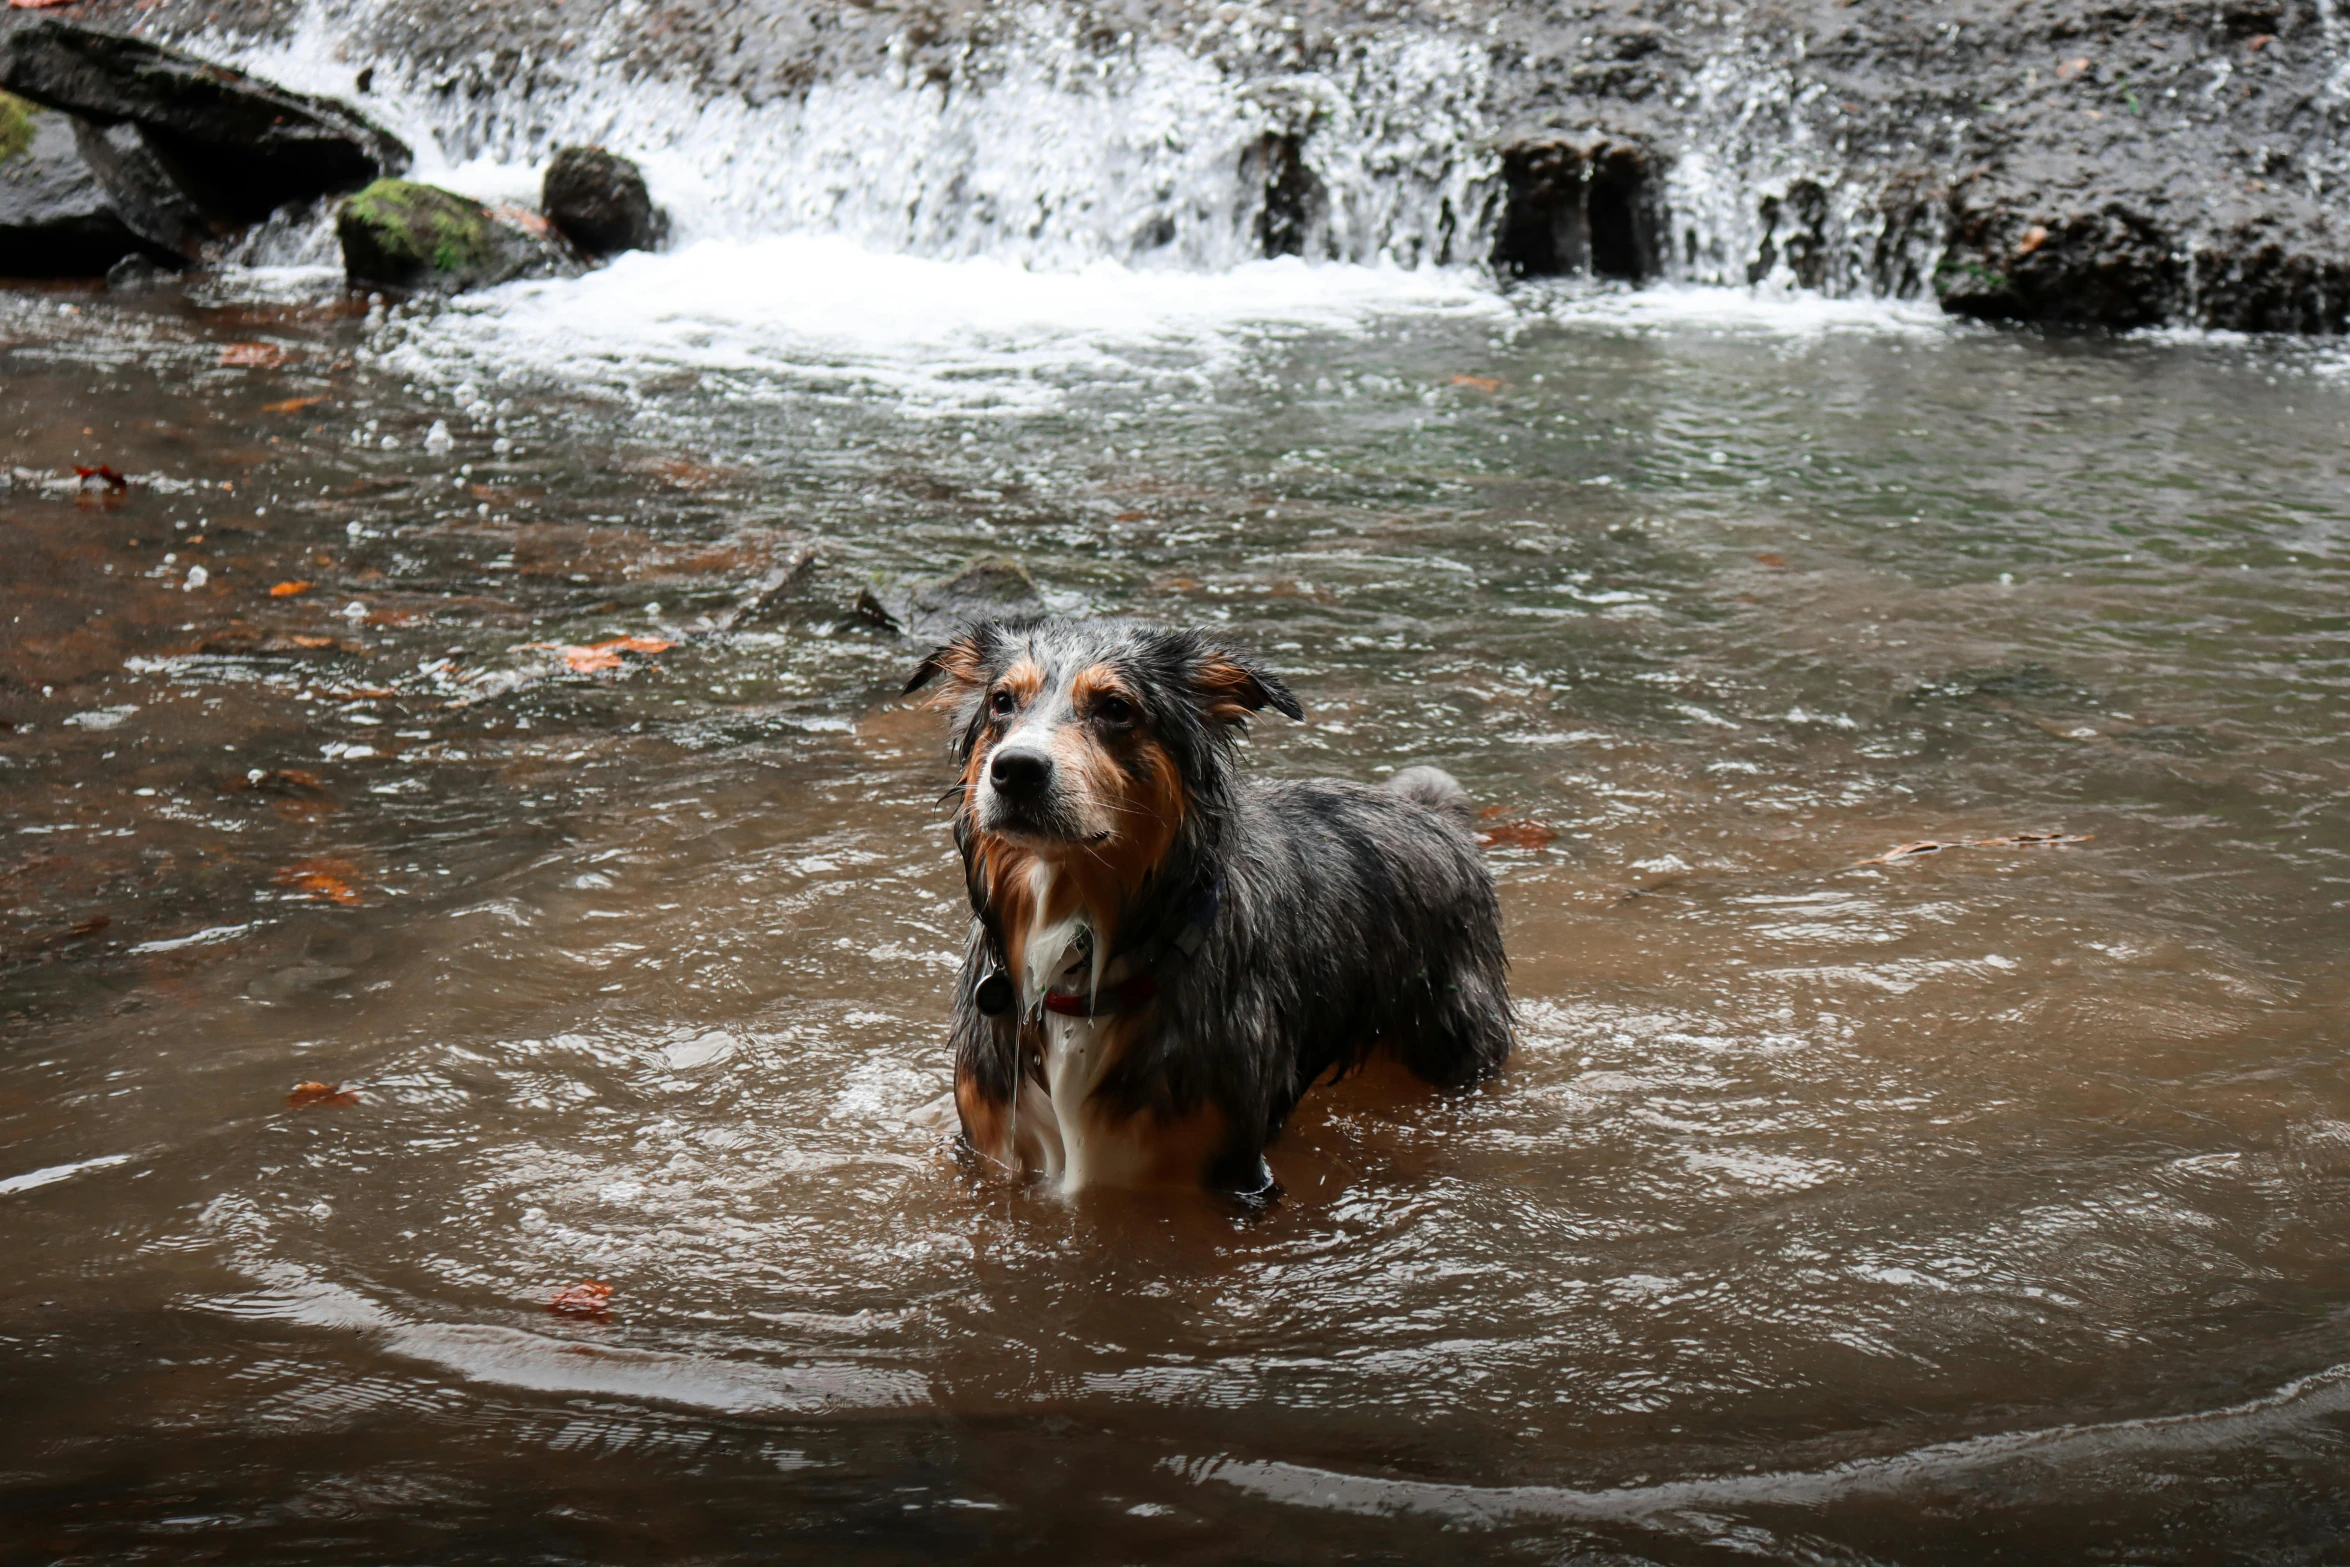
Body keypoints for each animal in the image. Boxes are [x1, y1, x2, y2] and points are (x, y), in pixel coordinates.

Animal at [907, 620, 1513, 1193]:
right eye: (1001, 701)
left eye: (1116, 708)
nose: (1015, 769)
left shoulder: (1228, 1168)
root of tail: (1436, 815)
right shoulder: (994, 1148)